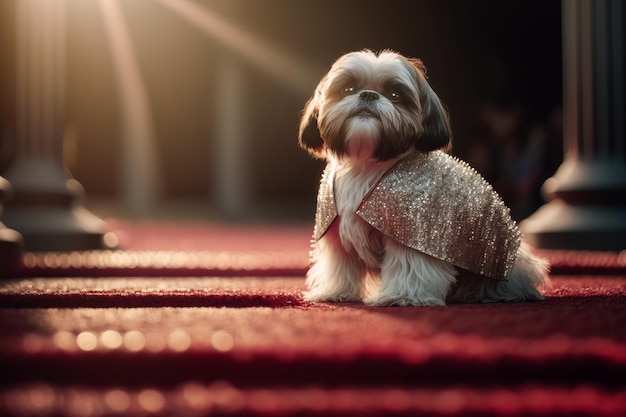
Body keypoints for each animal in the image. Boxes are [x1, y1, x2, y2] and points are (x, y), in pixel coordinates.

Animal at [298, 49, 544, 306]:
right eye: (348, 88)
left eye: (395, 95)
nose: (368, 94)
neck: (366, 165)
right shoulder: (335, 229)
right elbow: (340, 265)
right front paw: (335, 291)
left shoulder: (413, 232)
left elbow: (409, 264)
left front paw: (403, 296)